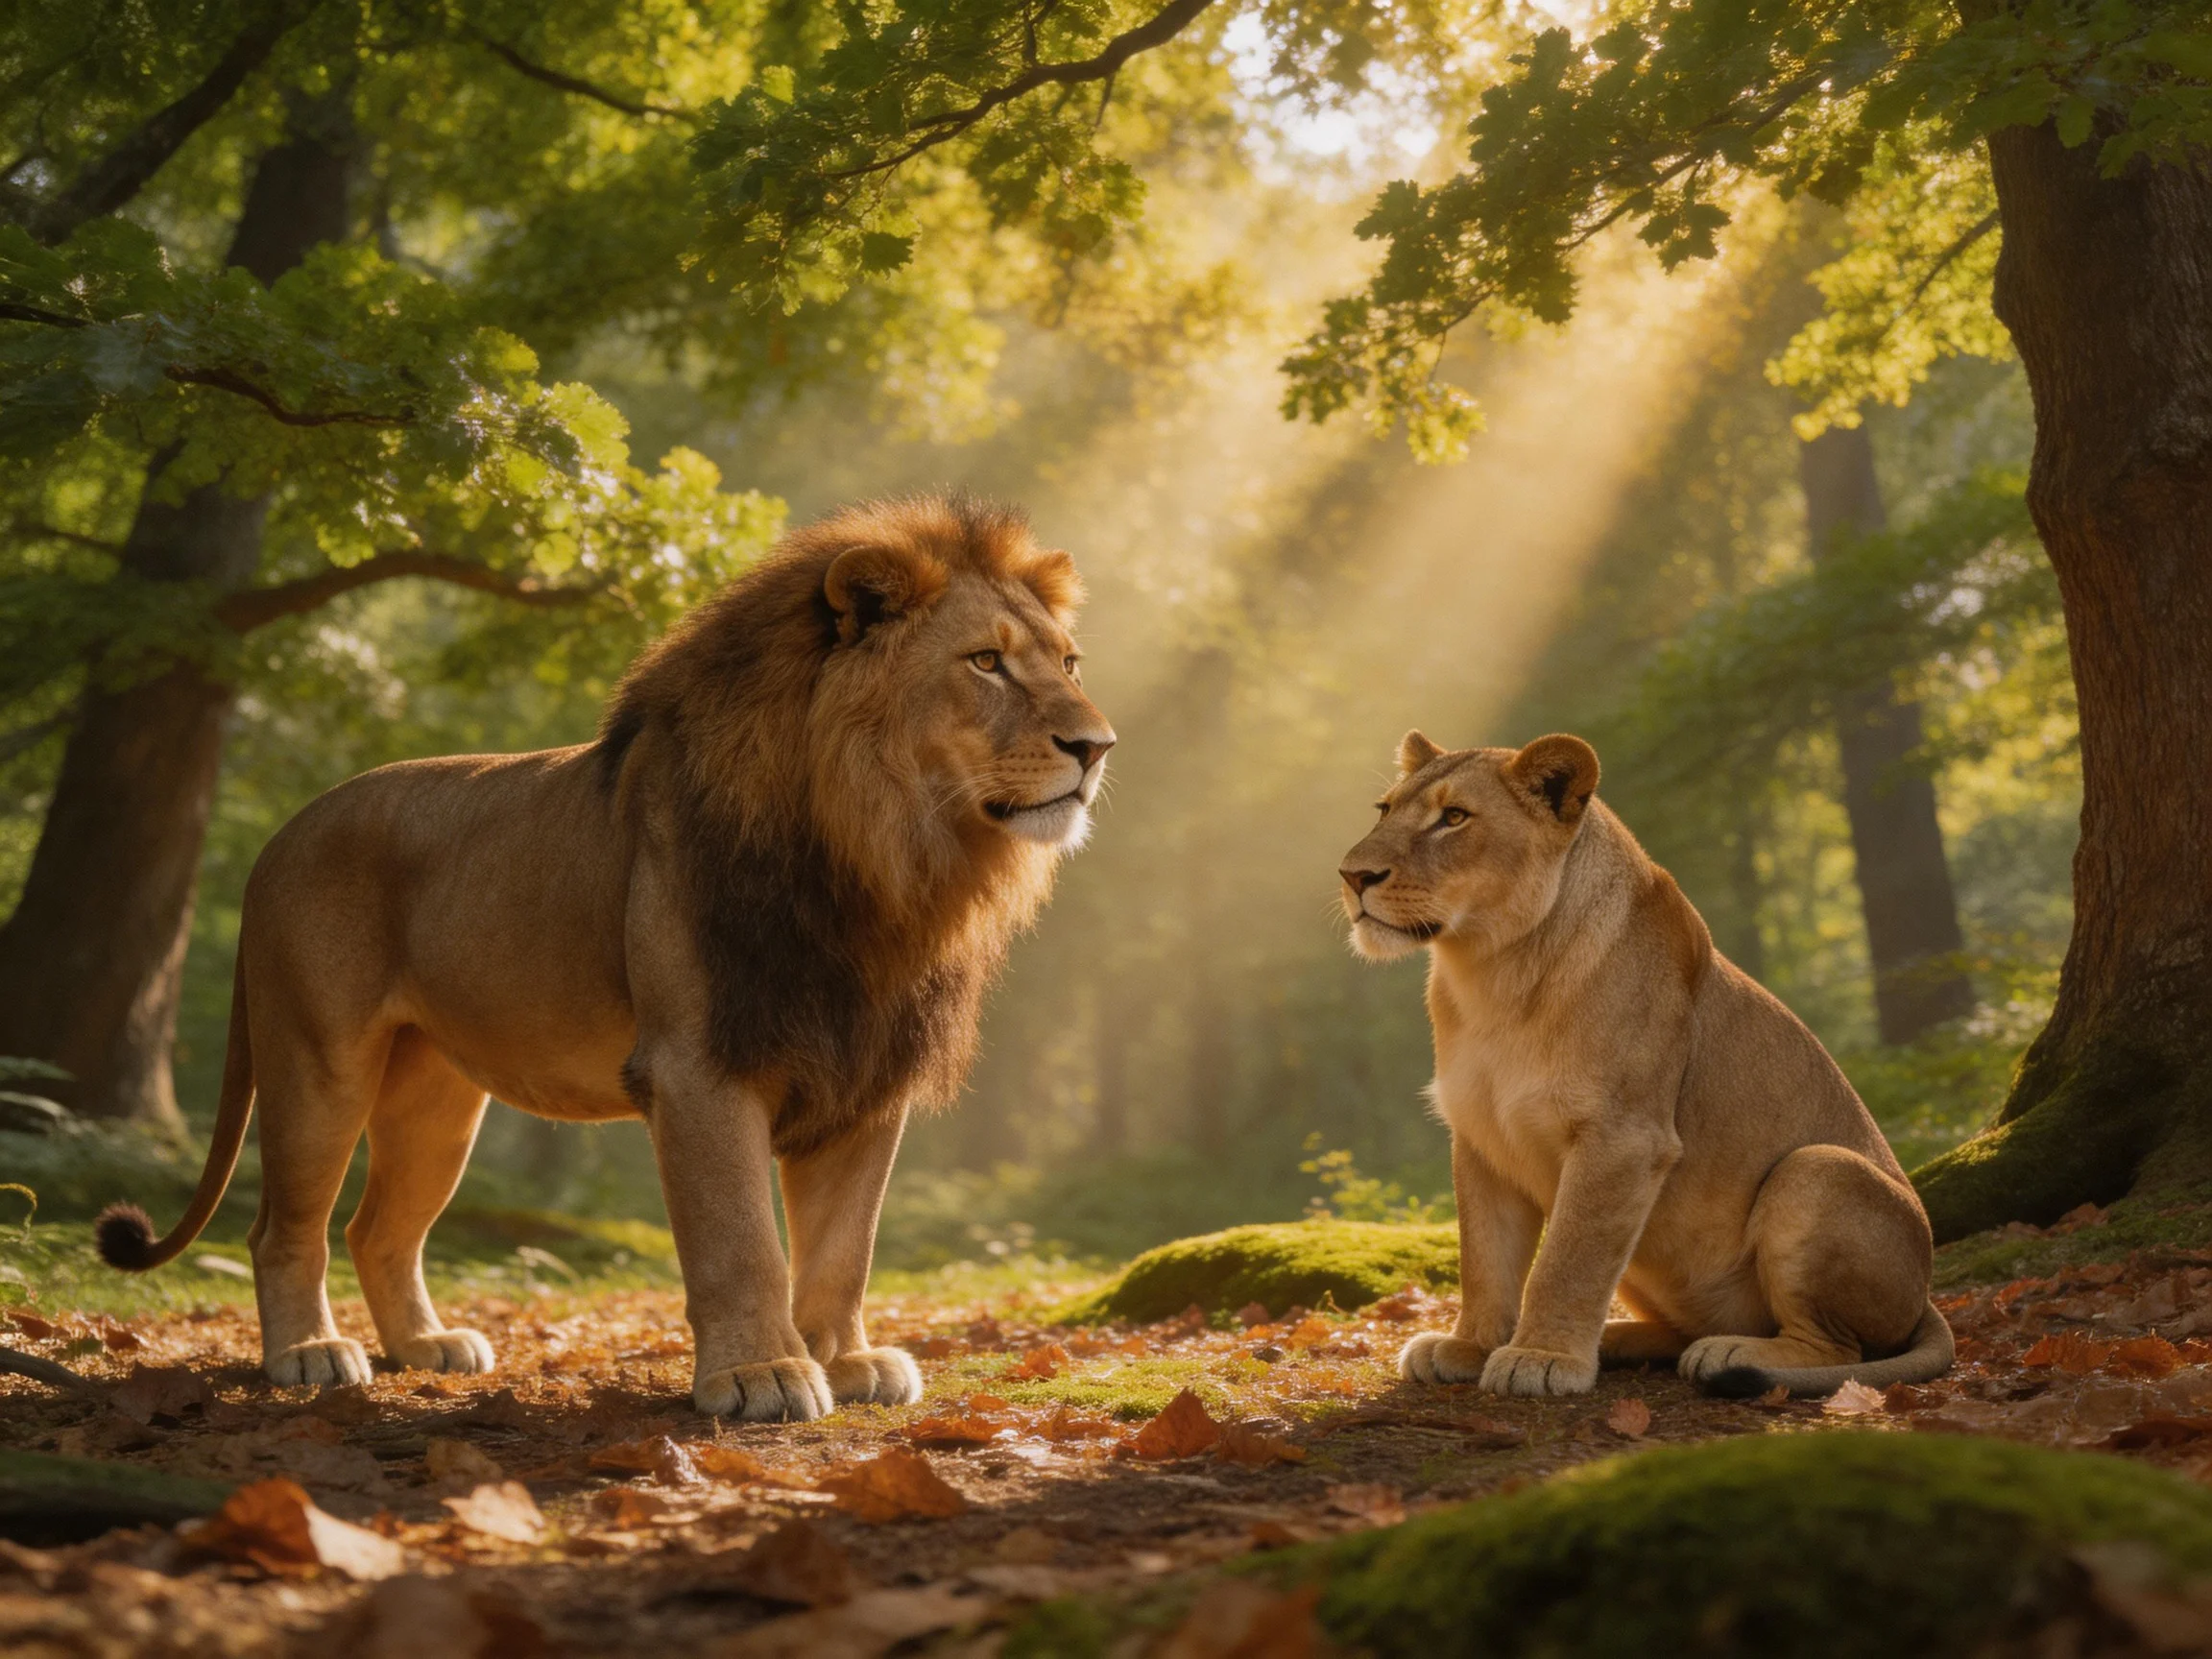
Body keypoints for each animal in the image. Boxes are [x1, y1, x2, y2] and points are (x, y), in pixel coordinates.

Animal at [96, 493, 1115, 1421]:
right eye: (984, 662)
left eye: (1067, 663)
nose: (1098, 745)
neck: (884, 858)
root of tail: (278, 838)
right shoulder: (699, 1063)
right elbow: (741, 1239)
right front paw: (763, 1374)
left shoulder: (863, 1069)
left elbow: (844, 1245)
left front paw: (846, 1359)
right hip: (320, 1062)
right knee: (283, 1226)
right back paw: (308, 1354)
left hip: (436, 1097)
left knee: (376, 1227)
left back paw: (426, 1347)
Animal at [1337, 731, 1951, 1398]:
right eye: (1384, 810)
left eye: (1454, 818)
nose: (1351, 875)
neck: (1490, 975)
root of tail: (1926, 1294)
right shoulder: (1480, 1137)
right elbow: (1483, 1257)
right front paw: (1469, 1345)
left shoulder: (1623, 1138)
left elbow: (1567, 1260)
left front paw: (1541, 1357)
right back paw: (1618, 1340)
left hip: (1818, 1170)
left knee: (1837, 1347)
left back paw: (1727, 1354)